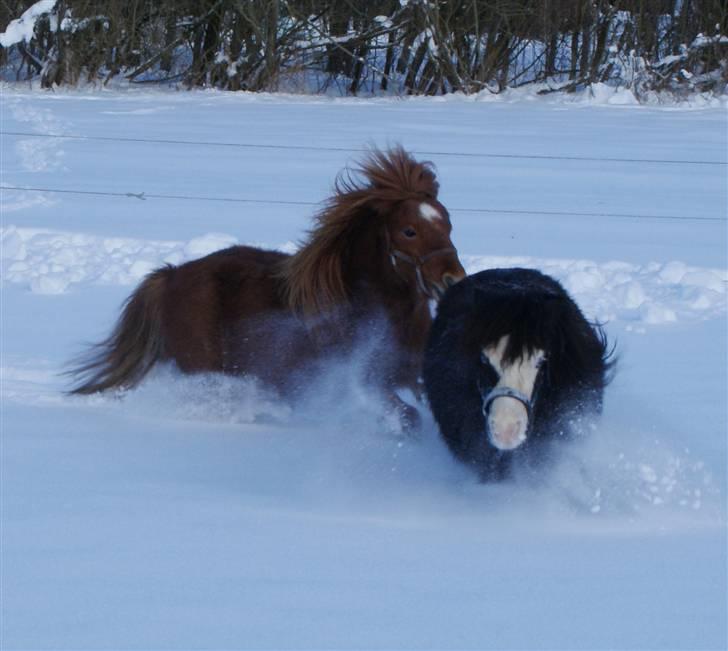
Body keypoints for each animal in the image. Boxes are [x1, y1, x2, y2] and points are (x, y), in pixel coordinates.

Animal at [68, 146, 466, 428]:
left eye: (448, 223)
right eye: (409, 231)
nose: (453, 279)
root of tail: (171, 275)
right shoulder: (362, 382)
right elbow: (408, 418)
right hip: (204, 368)